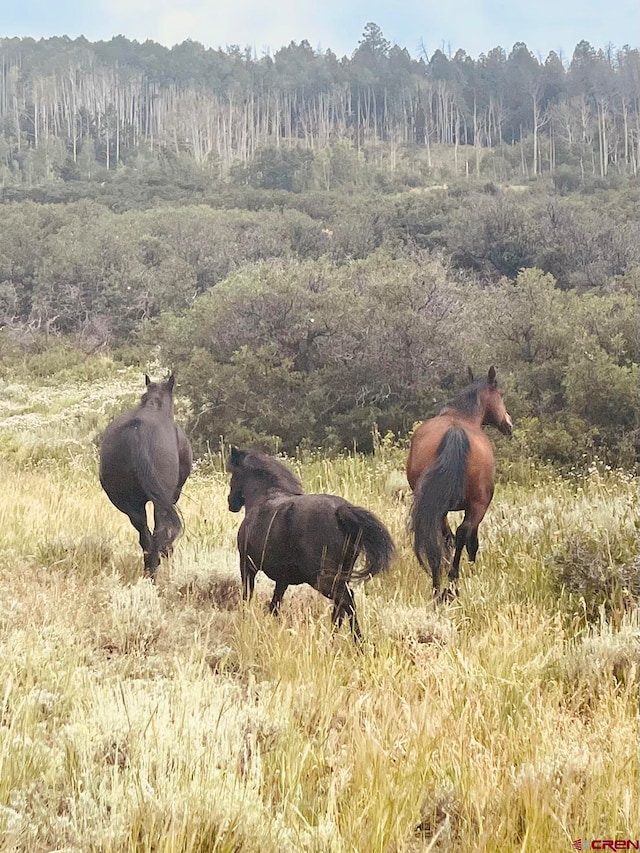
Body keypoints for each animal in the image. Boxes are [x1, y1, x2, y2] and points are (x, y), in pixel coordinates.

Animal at [97, 374, 192, 580]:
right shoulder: (173, 495)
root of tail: (138, 431)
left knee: (145, 537)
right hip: (161, 501)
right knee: (159, 532)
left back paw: (149, 572)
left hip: (129, 504)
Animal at [225, 446, 396, 640]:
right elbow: (275, 605)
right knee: (340, 607)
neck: (263, 499)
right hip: (341, 574)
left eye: (233, 475)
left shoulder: (247, 566)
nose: (230, 501)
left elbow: (248, 596)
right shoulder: (282, 578)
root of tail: (340, 511)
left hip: (323, 579)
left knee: (347, 600)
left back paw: (356, 640)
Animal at [408, 366, 512, 600]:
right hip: (479, 504)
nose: (508, 423)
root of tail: (455, 431)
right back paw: (453, 581)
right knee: (464, 533)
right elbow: (470, 540)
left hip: (436, 506)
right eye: (501, 394)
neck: (461, 416)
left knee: (440, 537)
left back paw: (437, 586)